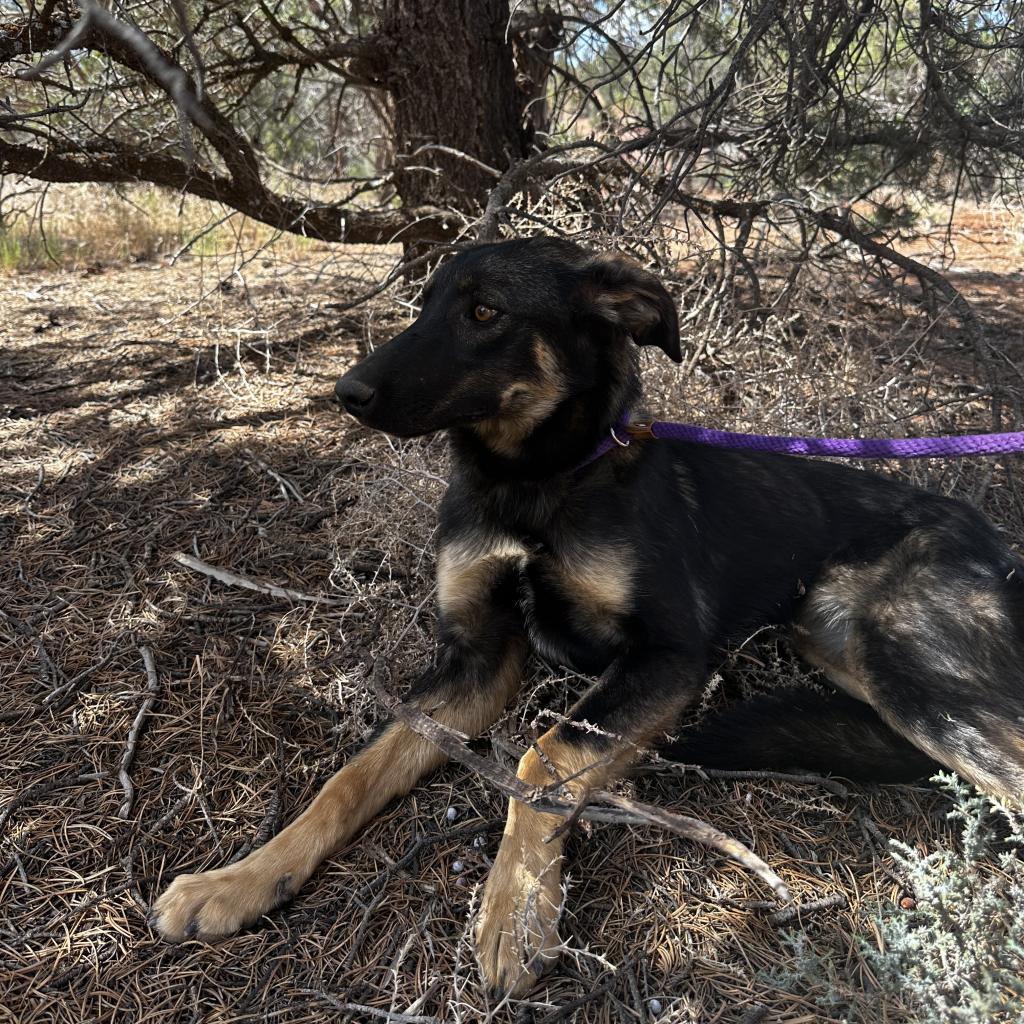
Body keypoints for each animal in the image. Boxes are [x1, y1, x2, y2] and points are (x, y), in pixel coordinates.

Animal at [151, 235, 1024, 995]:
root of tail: (997, 541)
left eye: (484, 312)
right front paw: (243, 879)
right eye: (424, 303)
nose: (348, 393)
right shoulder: (472, 660)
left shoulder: (669, 655)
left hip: (901, 651)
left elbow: (543, 756)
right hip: (830, 633)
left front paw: (515, 913)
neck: (534, 482)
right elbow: (350, 777)